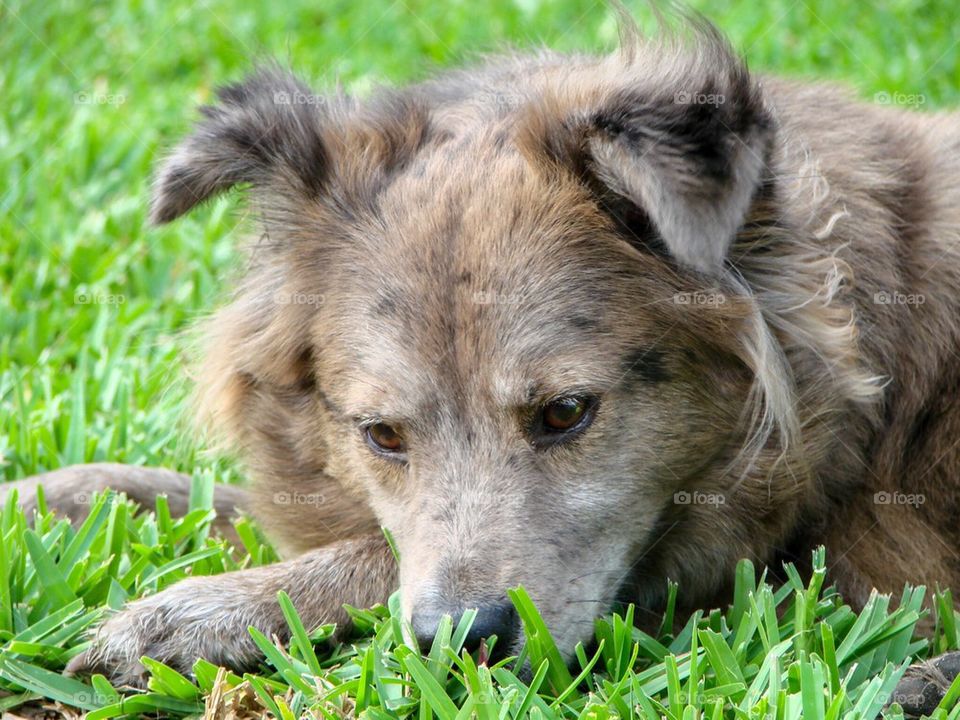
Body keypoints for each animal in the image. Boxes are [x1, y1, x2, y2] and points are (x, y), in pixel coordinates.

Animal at [7, 11, 960, 708]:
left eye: (566, 413)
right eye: (382, 435)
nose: (465, 645)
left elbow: (376, 553)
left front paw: (203, 611)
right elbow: (213, 498)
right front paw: (55, 496)